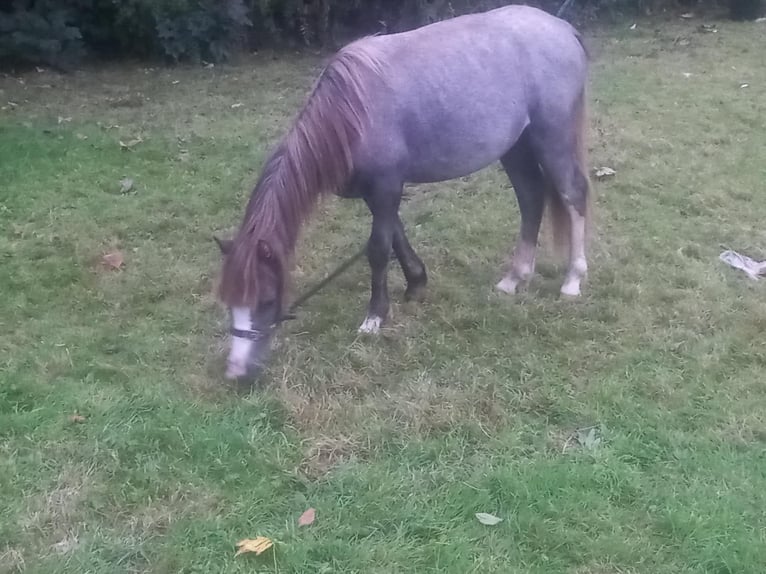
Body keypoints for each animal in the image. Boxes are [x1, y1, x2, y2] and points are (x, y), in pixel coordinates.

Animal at [214, 5, 592, 380]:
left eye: (265, 300)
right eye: (229, 301)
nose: (236, 370)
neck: (352, 114)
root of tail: (562, 28)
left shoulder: (385, 187)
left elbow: (379, 249)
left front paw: (374, 317)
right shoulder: (378, 192)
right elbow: (396, 235)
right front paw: (416, 283)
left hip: (551, 138)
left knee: (573, 195)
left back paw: (572, 281)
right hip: (516, 147)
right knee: (531, 197)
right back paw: (514, 279)